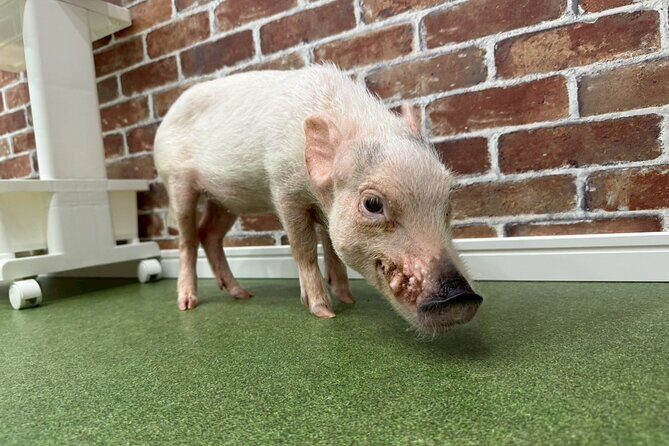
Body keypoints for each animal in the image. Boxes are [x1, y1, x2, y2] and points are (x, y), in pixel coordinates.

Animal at [153, 64, 482, 334]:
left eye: (448, 203)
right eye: (372, 204)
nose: (461, 296)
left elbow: (332, 247)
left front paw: (348, 300)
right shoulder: (283, 188)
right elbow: (304, 247)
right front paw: (325, 312)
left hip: (224, 200)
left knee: (209, 235)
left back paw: (242, 294)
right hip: (177, 182)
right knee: (188, 239)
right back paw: (188, 303)